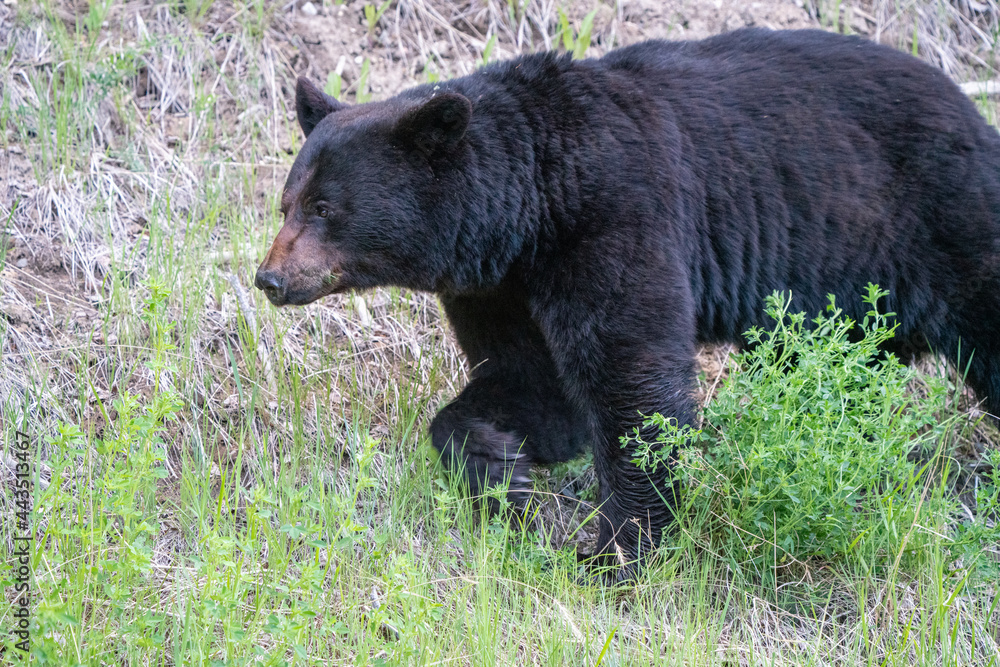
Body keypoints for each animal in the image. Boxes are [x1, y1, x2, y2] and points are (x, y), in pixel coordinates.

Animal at [255, 28, 1000, 578]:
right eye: (287, 201)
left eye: (326, 208)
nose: (269, 278)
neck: (533, 201)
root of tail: (972, 110)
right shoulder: (501, 286)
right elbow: (534, 385)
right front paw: (503, 477)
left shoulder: (616, 215)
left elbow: (630, 381)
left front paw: (618, 547)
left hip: (942, 222)